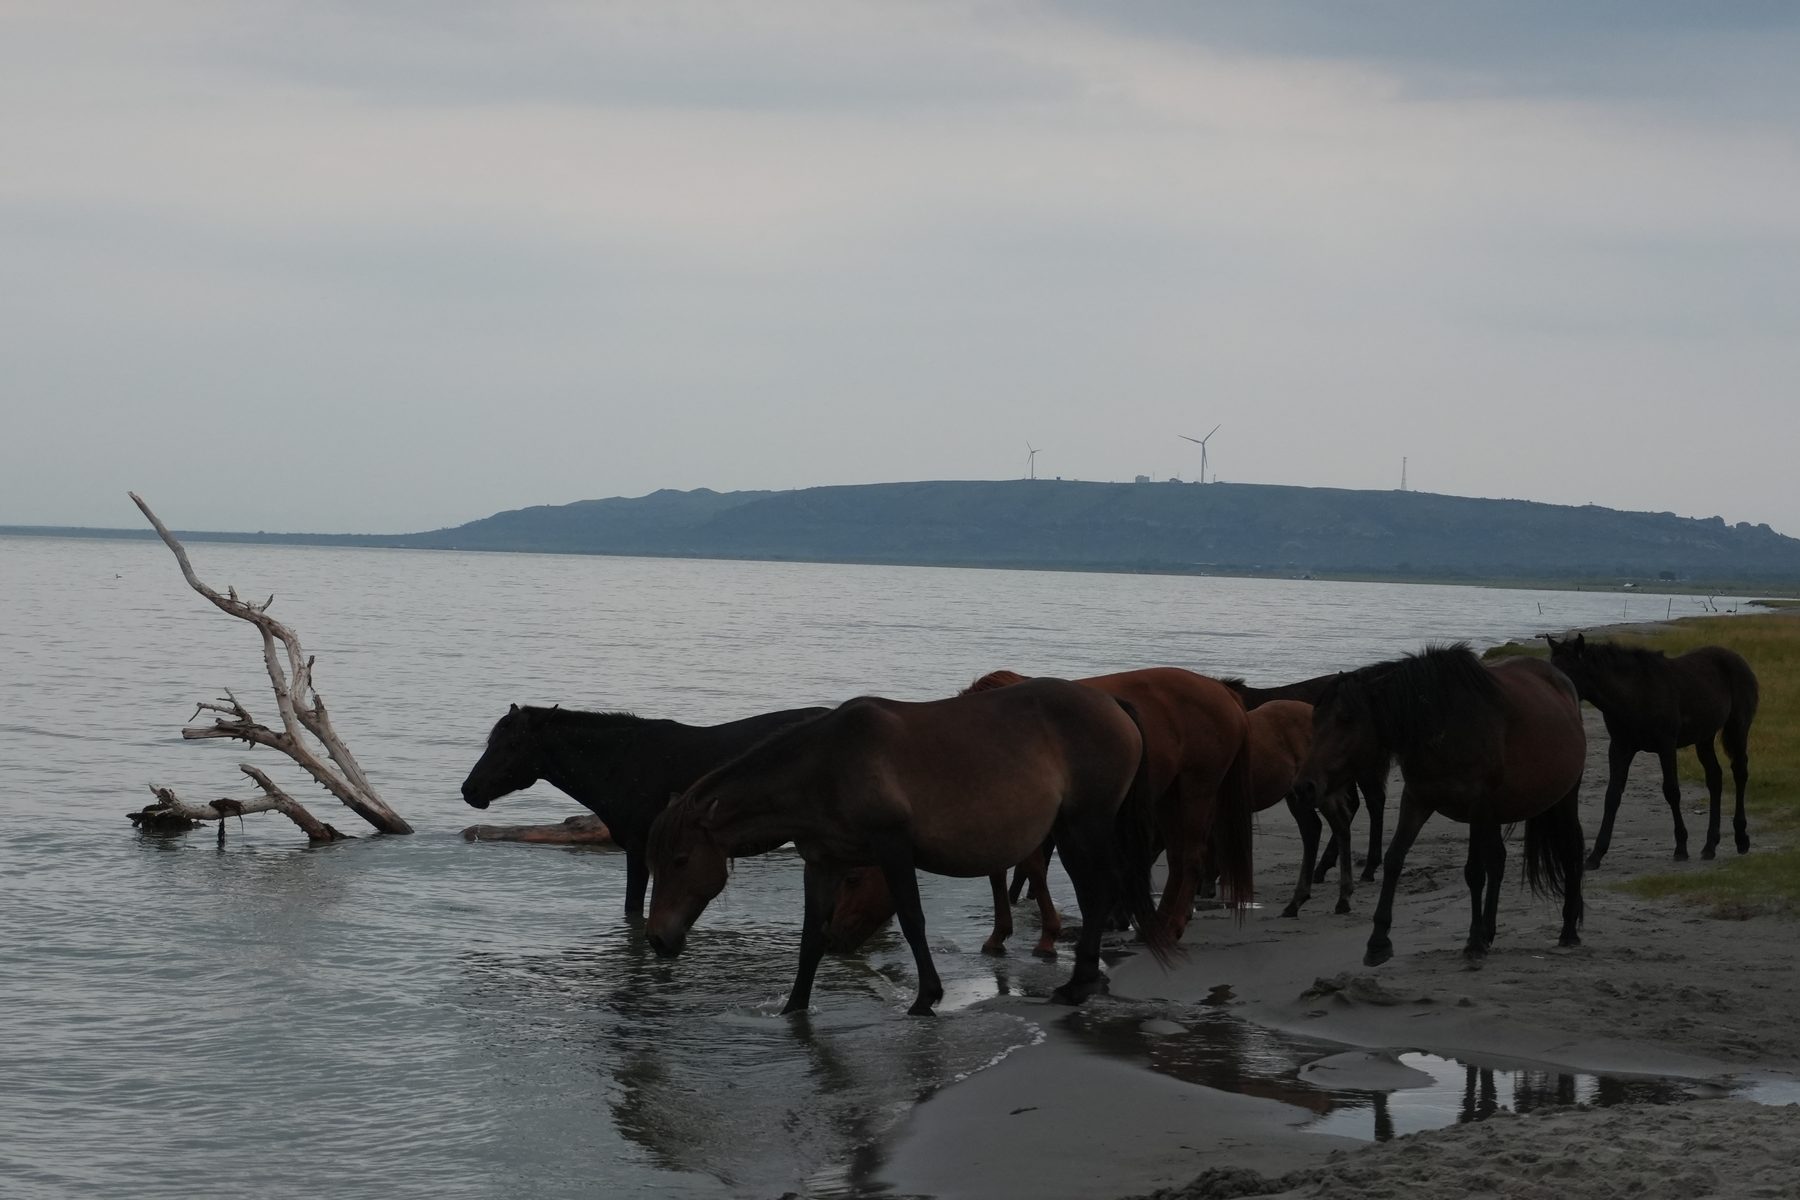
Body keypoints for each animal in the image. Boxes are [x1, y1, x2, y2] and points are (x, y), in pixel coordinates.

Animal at [645, 677, 1178, 1016]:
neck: (825, 765)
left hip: (1081, 827)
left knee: (1097, 894)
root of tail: (1113, 703)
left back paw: (1078, 984)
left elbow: (912, 920)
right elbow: (811, 936)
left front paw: (927, 998)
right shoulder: (821, 863)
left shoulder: (893, 849)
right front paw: (794, 1007)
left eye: (680, 859)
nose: (656, 940)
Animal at [821, 666, 1257, 954]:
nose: (834, 938)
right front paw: (999, 934)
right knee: (1180, 860)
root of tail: (1224, 693)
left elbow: (1030, 868)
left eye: (853, 879)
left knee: (1191, 858)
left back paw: (1171, 925)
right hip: (1169, 796)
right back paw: (1156, 925)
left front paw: (1047, 935)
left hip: (1195, 790)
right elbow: (1000, 872)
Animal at [1290, 645, 1587, 967]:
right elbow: (1394, 860)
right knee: (1499, 860)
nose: (1304, 787)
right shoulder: (1417, 800)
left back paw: (1568, 930)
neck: (1442, 724)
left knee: (1571, 850)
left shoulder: (1477, 807)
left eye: (1346, 718)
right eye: (1315, 719)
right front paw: (1378, 941)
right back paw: (1490, 930)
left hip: (1564, 798)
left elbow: (1475, 872)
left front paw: (1474, 942)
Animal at [1546, 633, 1759, 866]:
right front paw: (1596, 854)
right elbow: (1612, 796)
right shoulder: (1620, 748)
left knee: (1740, 772)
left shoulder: (1666, 746)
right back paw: (1710, 845)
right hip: (1704, 737)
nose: (1553, 701)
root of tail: (1738, 660)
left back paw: (1741, 839)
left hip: (1737, 727)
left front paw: (1681, 848)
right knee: (1714, 778)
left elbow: (1672, 791)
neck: (1635, 695)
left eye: (1569, 670)